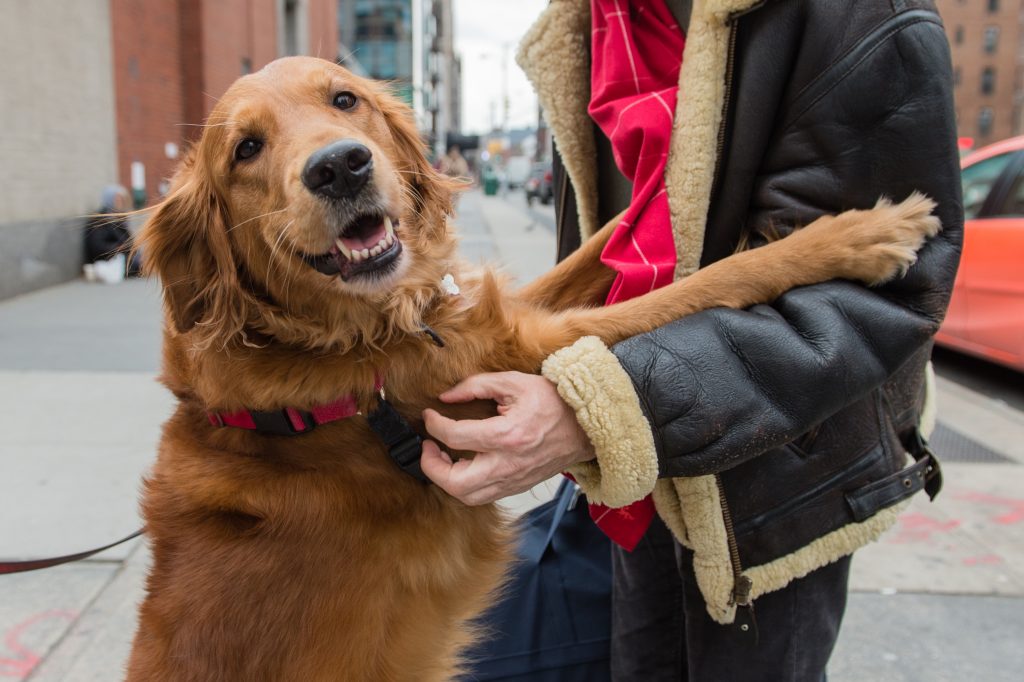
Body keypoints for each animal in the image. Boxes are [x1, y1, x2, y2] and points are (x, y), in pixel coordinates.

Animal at [130, 58, 942, 679]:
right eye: (246, 149)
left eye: (344, 100)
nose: (338, 167)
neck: (333, 338)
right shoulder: (522, 349)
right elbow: (703, 284)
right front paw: (857, 234)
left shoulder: (510, 315)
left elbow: (612, 241)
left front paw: (677, 162)